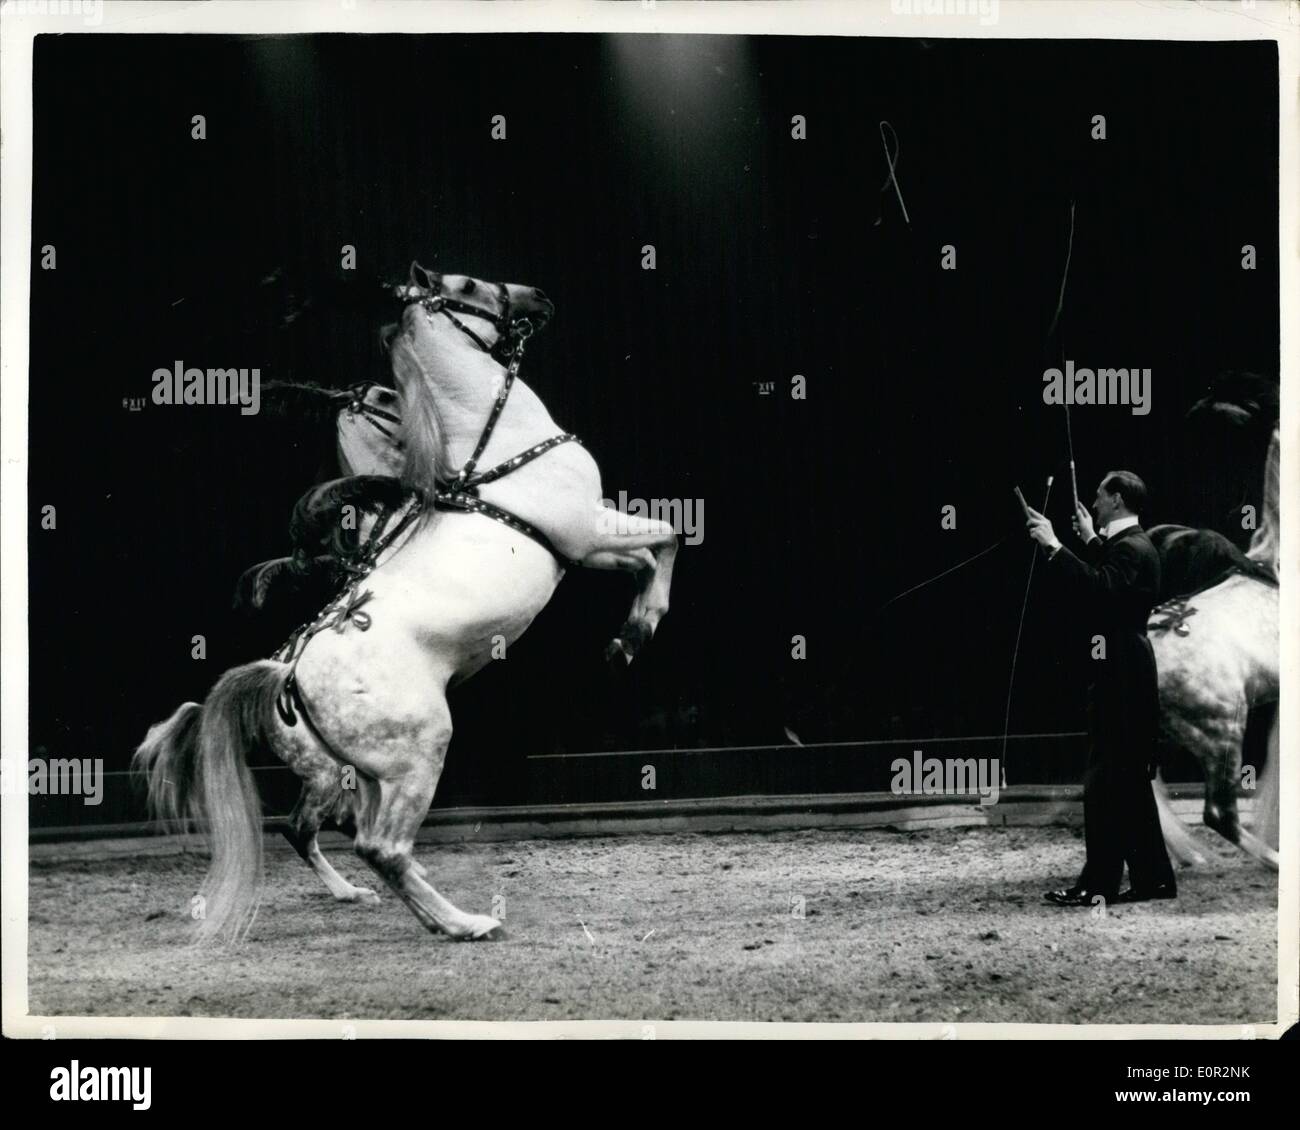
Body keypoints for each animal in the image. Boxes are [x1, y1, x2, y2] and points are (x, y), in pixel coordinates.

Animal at [135, 266, 681, 941]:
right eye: (467, 284)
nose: (538, 297)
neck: (499, 450)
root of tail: (286, 676)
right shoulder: (588, 531)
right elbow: (668, 535)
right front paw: (640, 628)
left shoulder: (583, 547)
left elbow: (648, 557)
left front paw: (627, 639)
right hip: (411, 757)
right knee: (376, 846)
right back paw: (463, 923)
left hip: (360, 773)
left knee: (344, 835)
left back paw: (408, 908)